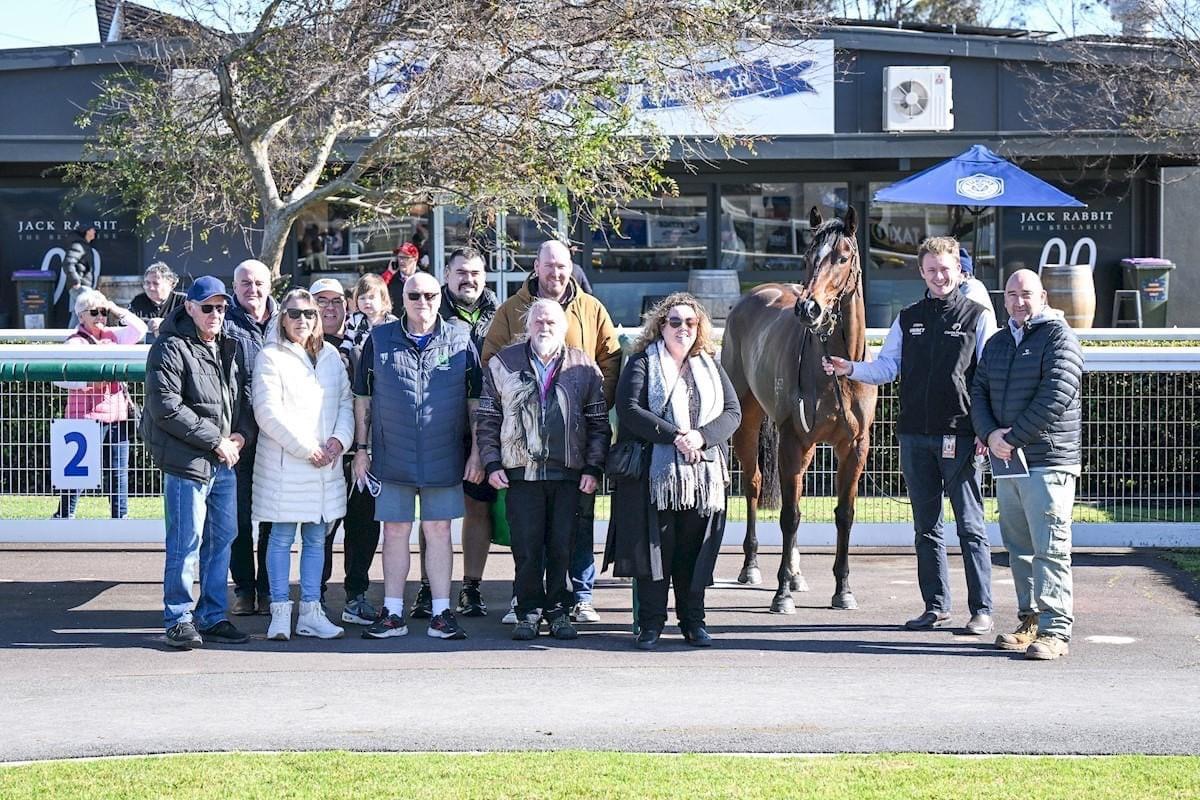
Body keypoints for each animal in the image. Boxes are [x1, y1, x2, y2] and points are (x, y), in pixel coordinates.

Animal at [715, 206, 878, 614]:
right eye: (808, 256)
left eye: (843, 257)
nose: (808, 308)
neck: (838, 367)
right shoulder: (794, 441)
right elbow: (789, 516)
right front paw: (781, 595)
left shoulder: (855, 448)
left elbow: (844, 515)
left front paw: (843, 590)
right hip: (748, 425)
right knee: (754, 485)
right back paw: (752, 567)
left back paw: (796, 573)